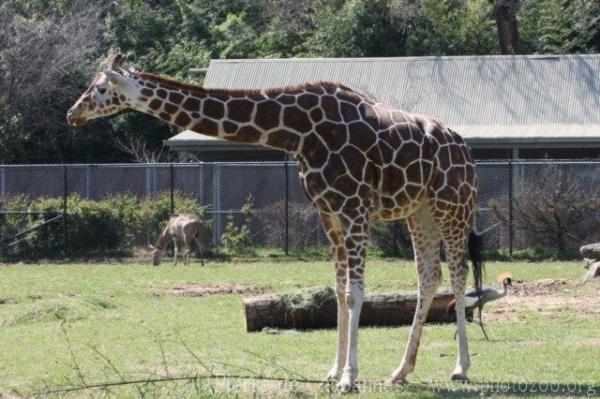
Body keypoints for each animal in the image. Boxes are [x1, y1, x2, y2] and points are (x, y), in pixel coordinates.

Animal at [67, 54, 482, 394]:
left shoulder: (354, 208)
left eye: (101, 88)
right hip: (419, 211)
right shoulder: (329, 213)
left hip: (453, 206)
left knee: (459, 273)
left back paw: (461, 368)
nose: (73, 113)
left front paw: (349, 378)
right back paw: (401, 371)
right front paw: (333, 372)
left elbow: (354, 293)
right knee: (429, 276)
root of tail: (465, 150)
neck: (298, 132)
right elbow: (338, 290)